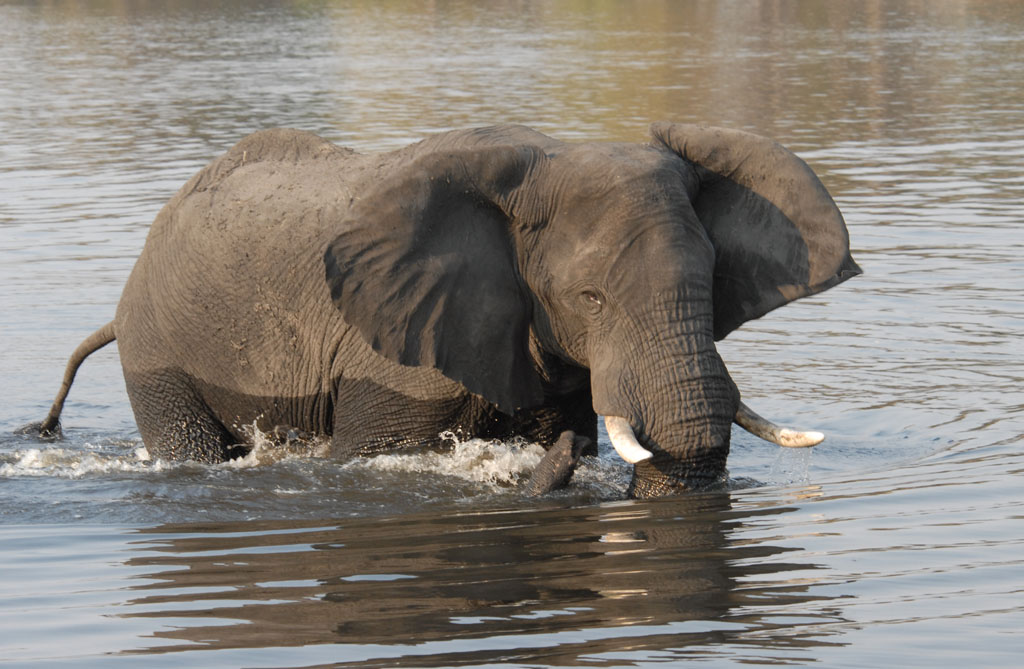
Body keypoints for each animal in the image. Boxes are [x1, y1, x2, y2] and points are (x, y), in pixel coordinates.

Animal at [25, 123, 860, 497]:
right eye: (589, 297)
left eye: (712, 281)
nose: (575, 455)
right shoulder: (390, 352)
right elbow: (363, 459)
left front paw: (555, 449)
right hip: (157, 349)